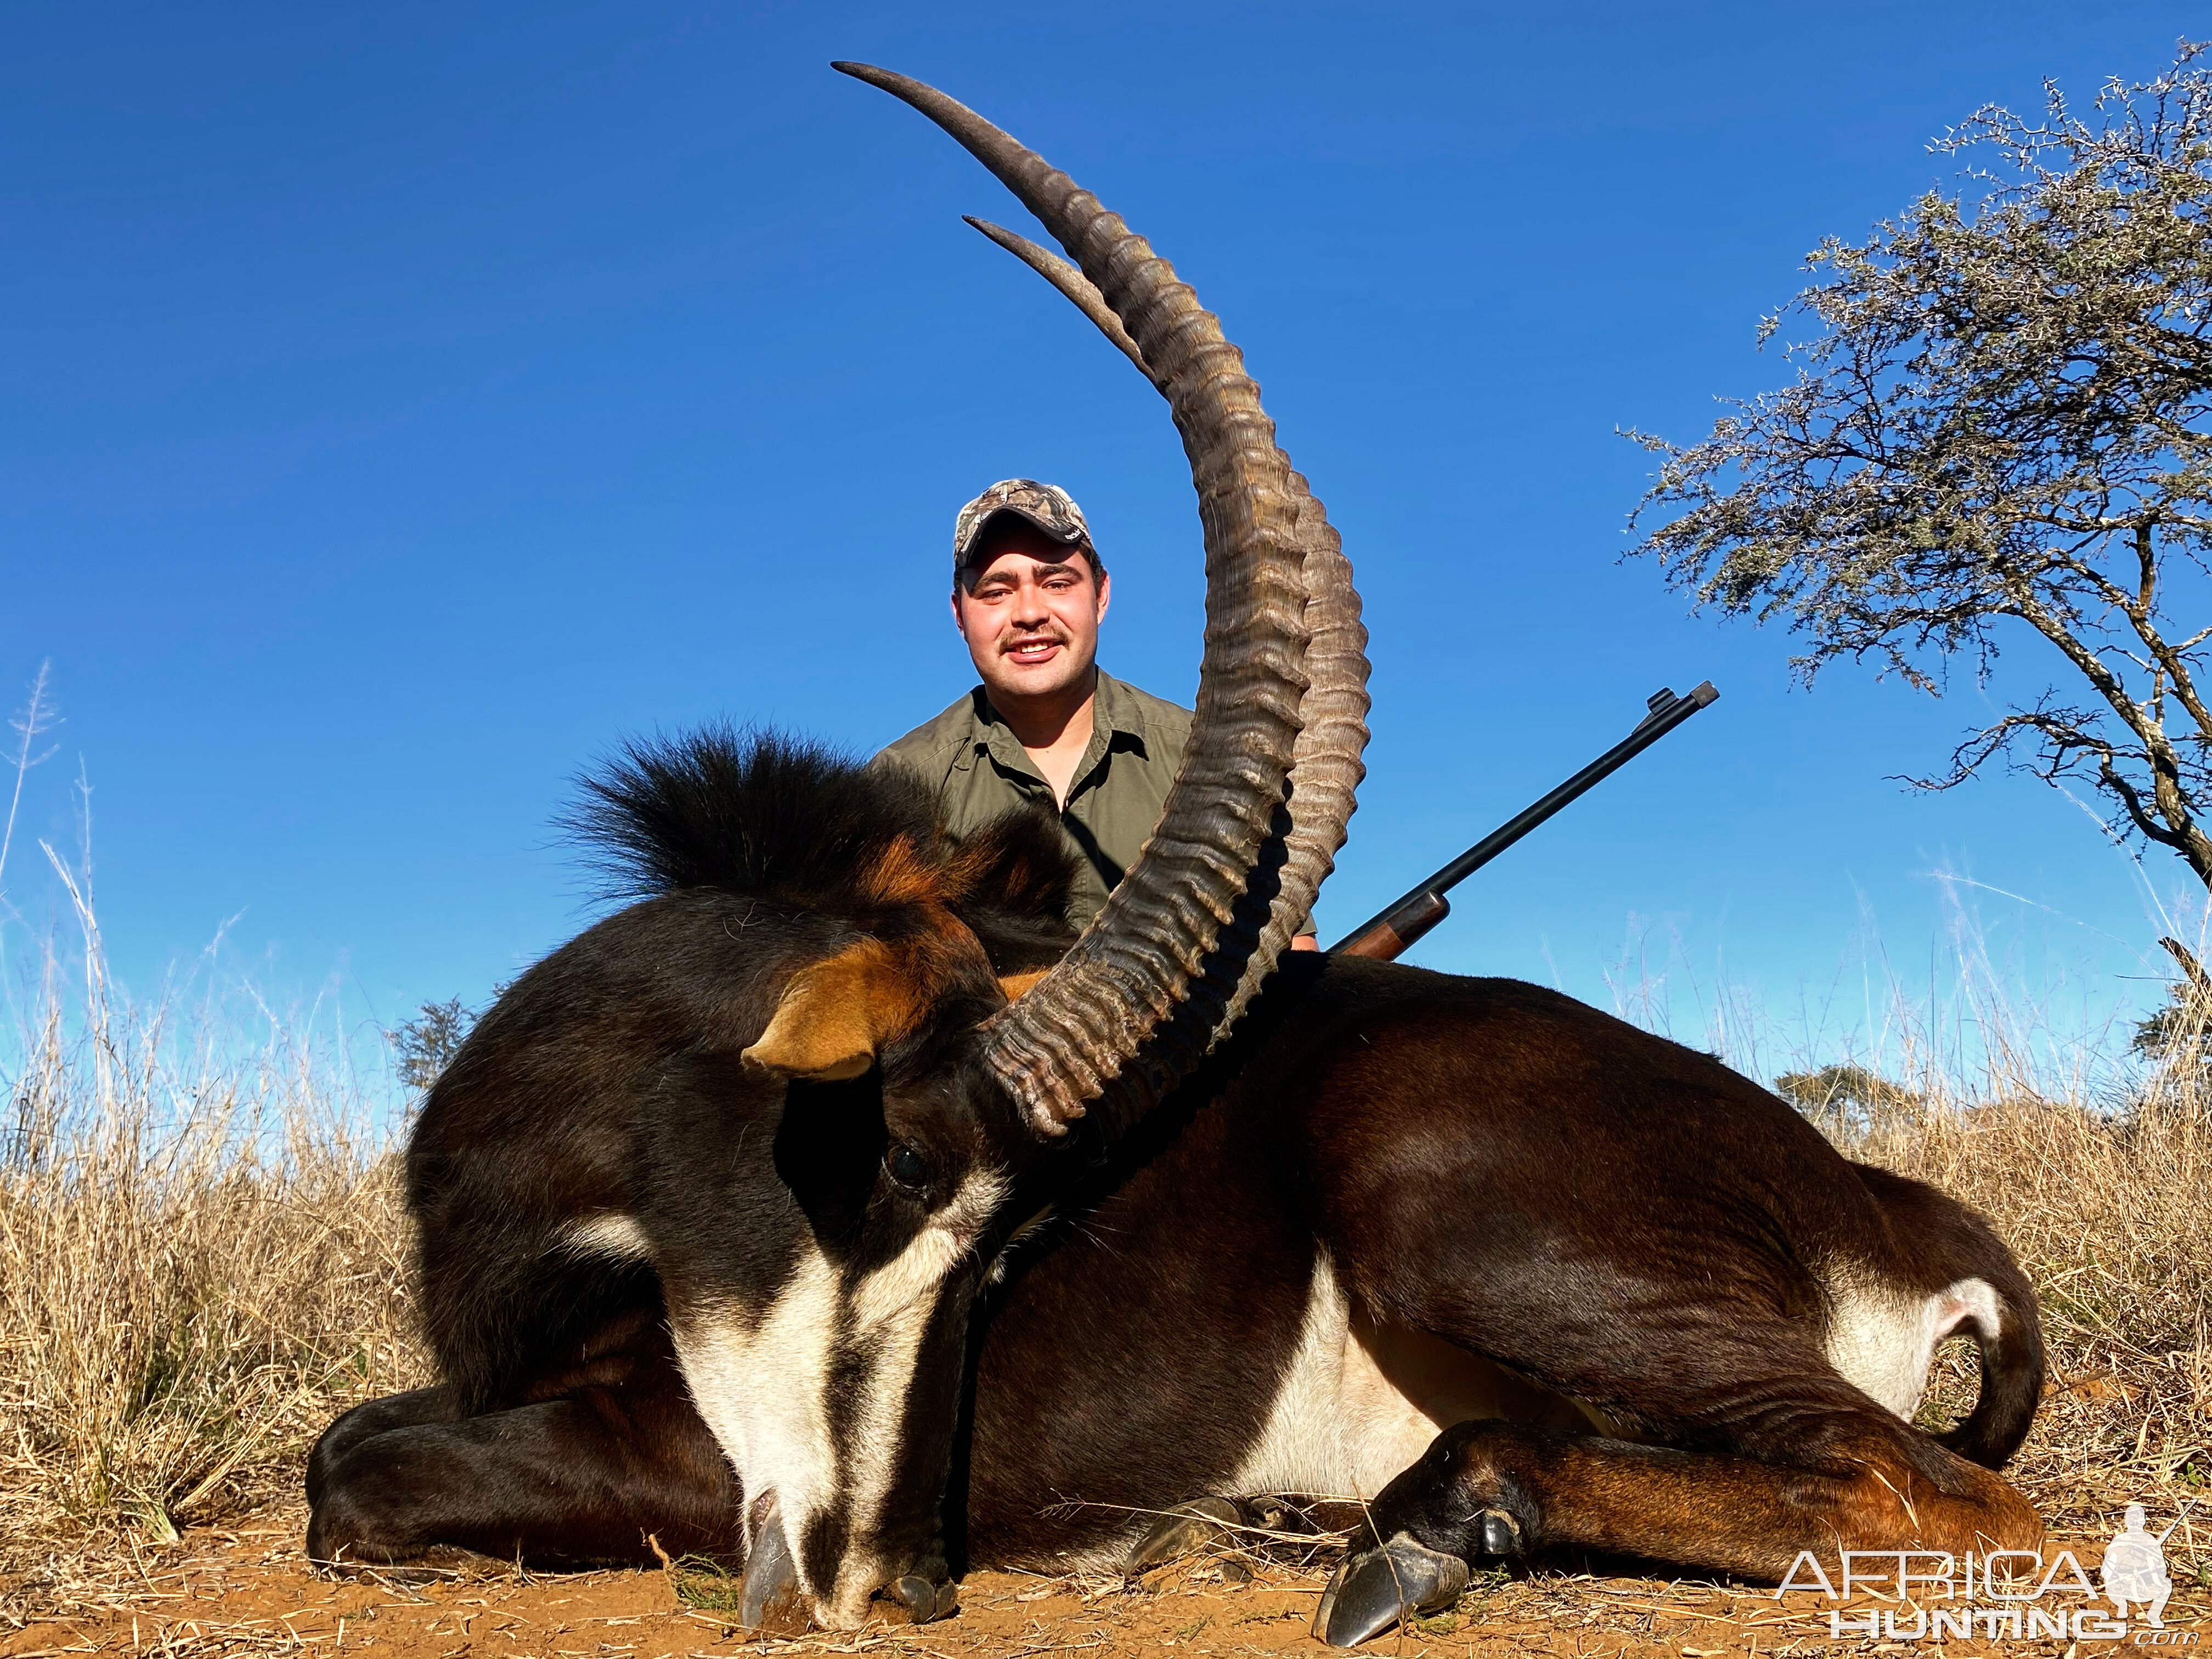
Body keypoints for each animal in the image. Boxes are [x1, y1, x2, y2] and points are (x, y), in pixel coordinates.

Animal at [303, 65, 2044, 1654]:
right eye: (912, 1168)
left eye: (994, 1223)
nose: (890, 1579)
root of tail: (1886, 1206)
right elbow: (350, 1432)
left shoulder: (669, 1449)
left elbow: (352, 1469)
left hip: (1444, 1190)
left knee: (1943, 1496)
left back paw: (1427, 1530)